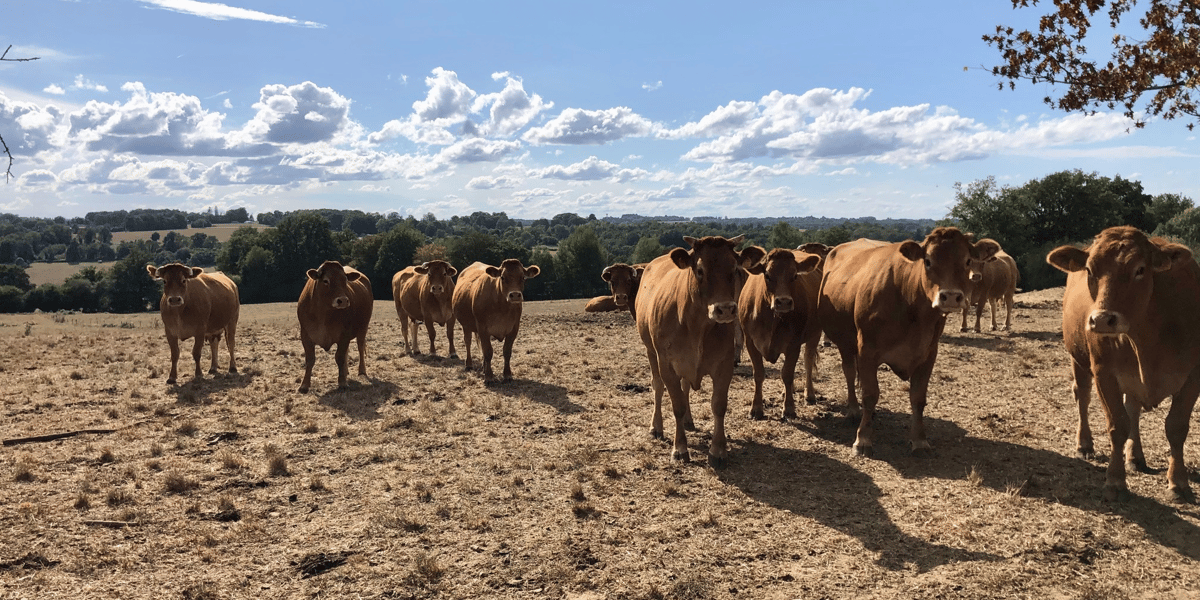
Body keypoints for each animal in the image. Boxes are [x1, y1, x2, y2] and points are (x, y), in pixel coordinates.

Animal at [297, 260, 373, 393]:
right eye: (325, 280)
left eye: (345, 280)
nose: (342, 300)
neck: (323, 314)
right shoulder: (305, 336)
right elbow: (310, 359)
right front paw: (304, 385)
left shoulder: (344, 335)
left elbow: (340, 357)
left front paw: (342, 382)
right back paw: (346, 371)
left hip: (363, 328)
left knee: (360, 347)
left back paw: (361, 370)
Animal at [635, 235, 765, 465]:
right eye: (699, 270)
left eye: (734, 268)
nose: (725, 309)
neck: (696, 325)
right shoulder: (666, 364)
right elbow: (676, 404)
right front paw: (680, 448)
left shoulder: (724, 365)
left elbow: (718, 405)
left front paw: (718, 450)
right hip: (651, 352)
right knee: (657, 386)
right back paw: (656, 427)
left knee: (685, 386)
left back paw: (688, 421)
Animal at [738, 248, 822, 420]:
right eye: (767, 275)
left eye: (795, 275)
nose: (783, 302)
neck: (772, 318)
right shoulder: (750, 342)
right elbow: (759, 374)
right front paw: (756, 408)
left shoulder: (794, 344)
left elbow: (788, 374)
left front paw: (789, 408)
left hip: (815, 334)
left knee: (808, 360)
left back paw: (809, 394)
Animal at [818, 228, 1000, 456]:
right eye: (928, 261)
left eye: (967, 261)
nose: (950, 297)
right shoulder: (867, 350)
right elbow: (870, 394)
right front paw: (863, 439)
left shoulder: (928, 354)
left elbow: (918, 398)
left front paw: (920, 440)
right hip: (845, 342)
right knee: (849, 373)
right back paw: (852, 409)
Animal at [1048, 226, 1200, 503]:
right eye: (1090, 269)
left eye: (1140, 269)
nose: (1101, 320)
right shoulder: (1104, 373)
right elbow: (1118, 425)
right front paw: (1115, 480)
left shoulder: (1193, 376)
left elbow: (1176, 427)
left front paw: (1178, 483)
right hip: (1078, 359)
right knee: (1082, 396)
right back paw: (1085, 444)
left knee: (1133, 408)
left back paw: (1135, 456)